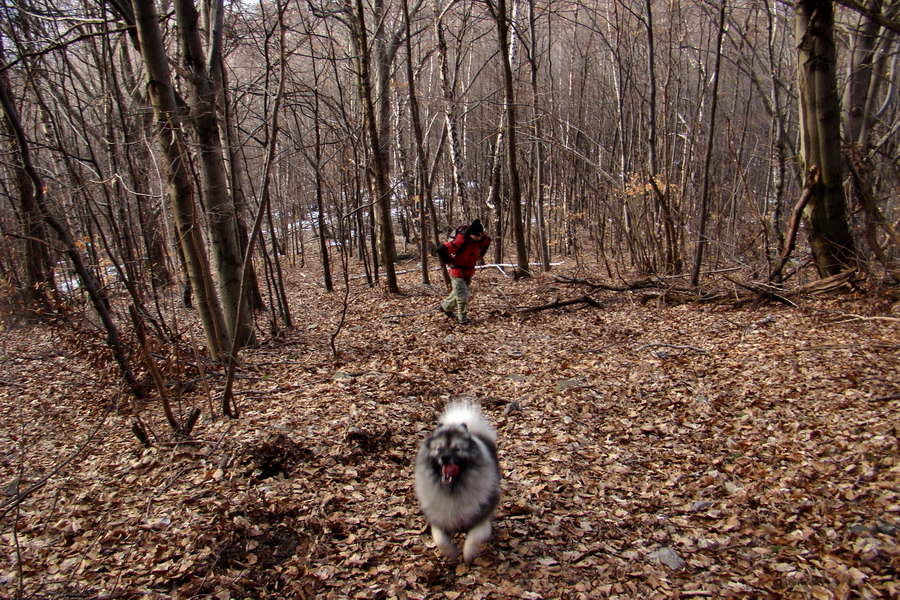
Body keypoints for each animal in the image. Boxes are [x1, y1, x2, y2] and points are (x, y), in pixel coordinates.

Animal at [414, 404, 500, 564]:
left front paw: (468, 556)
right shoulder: (439, 521)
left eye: (457, 449)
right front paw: (451, 554)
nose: (445, 458)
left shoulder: (482, 520)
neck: (452, 491)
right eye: (439, 449)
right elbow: (440, 539)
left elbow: (474, 537)